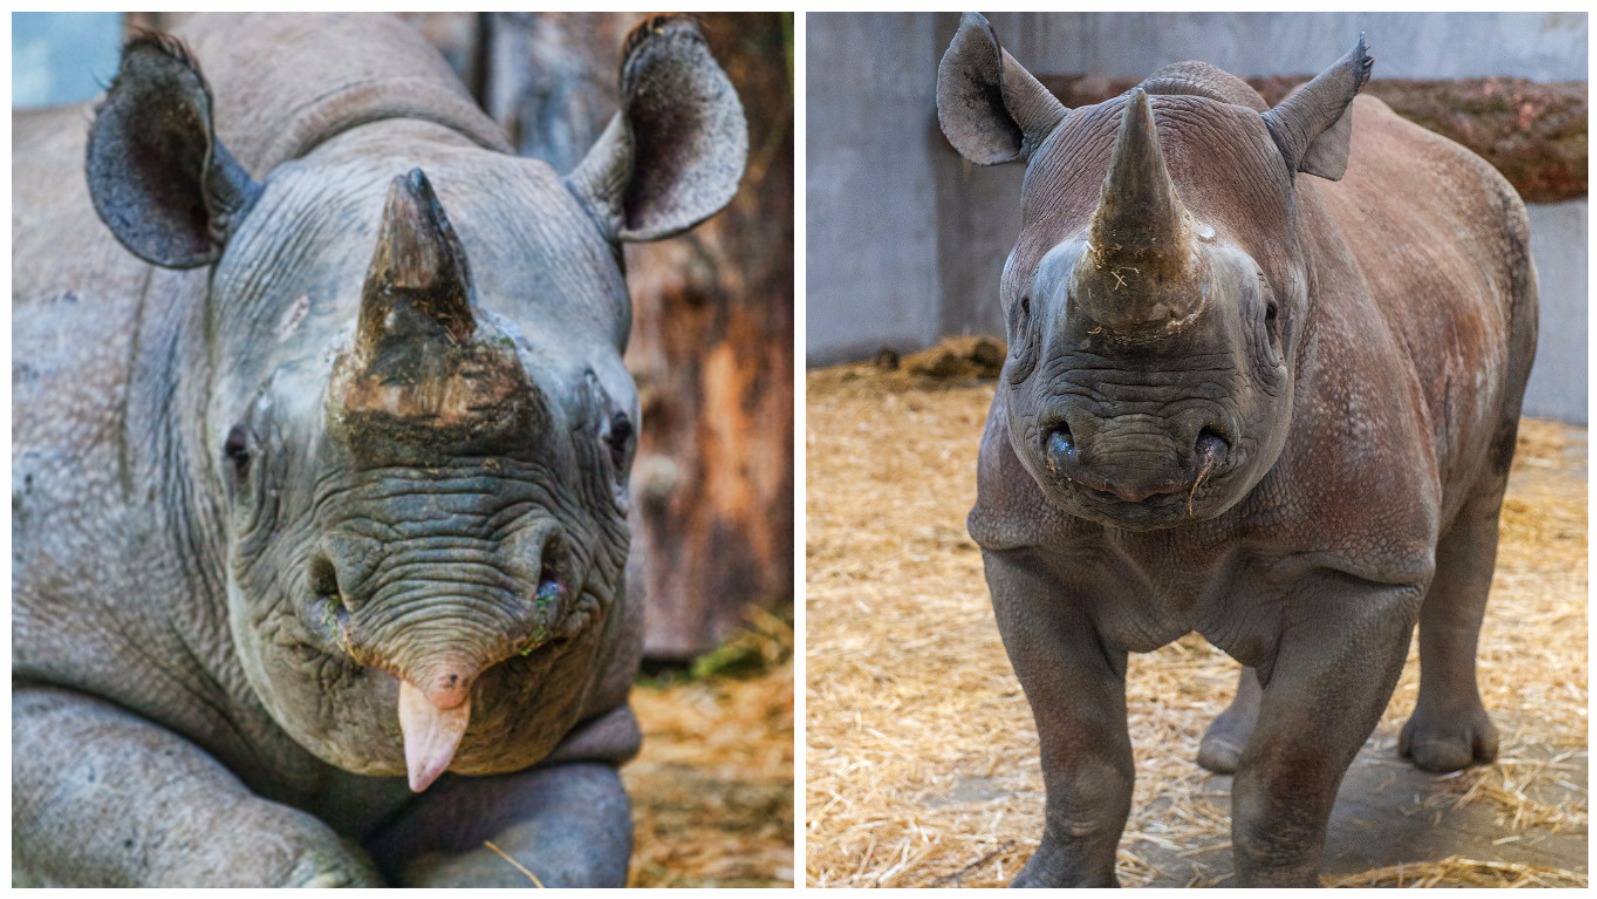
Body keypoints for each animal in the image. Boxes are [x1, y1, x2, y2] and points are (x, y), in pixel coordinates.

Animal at [14, 10, 747, 887]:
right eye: (238, 453)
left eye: (619, 436)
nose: (441, 667)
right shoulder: (46, 655)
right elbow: (223, 831)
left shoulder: (583, 732)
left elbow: (533, 854)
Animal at [932, 10, 1533, 887]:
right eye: (1019, 310)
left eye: (1273, 316)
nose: (1132, 443)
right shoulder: (1023, 547)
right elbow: (1080, 758)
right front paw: (1053, 881)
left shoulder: (1365, 568)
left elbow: (1286, 777)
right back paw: (1223, 749)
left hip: (1508, 247)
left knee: (1478, 499)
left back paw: (1444, 757)